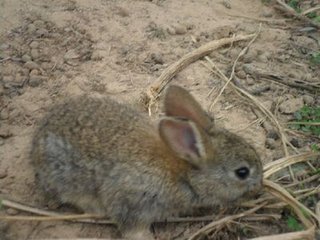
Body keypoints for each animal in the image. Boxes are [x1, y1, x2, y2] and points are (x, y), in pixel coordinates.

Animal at [30, 84, 262, 238]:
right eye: (242, 172)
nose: (259, 186)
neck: (184, 174)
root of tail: (37, 141)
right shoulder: (133, 201)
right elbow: (131, 227)